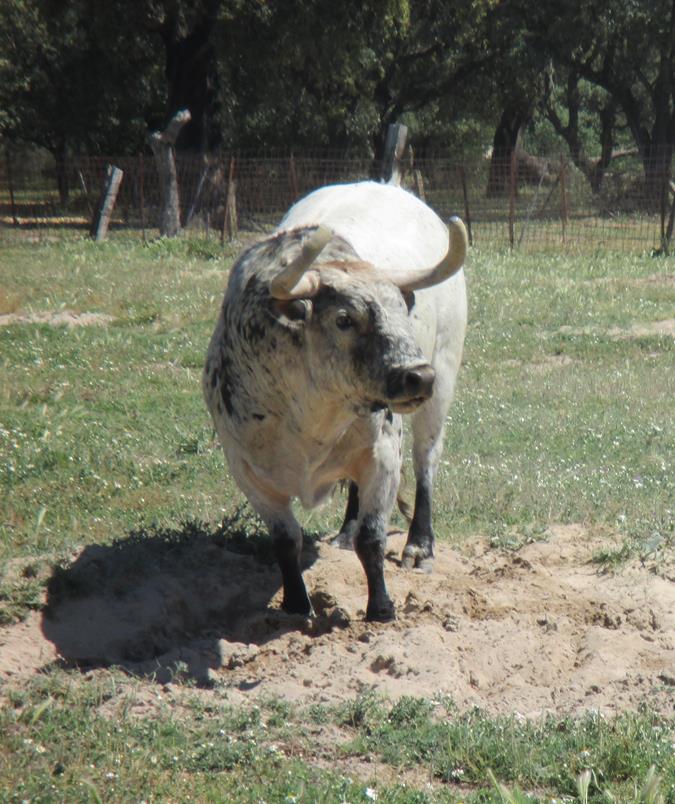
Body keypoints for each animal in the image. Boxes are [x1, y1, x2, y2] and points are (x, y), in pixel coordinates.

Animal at [205, 182, 470, 620]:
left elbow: (373, 537)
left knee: (426, 462)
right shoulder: (246, 470)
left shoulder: (385, 453)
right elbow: (286, 541)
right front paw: (296, 606)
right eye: (344, 319)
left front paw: (381, 608)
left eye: (402, 309)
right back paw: (344, 534)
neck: (311, 416)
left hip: (444, 376)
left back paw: (419, 546)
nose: (419, 375)